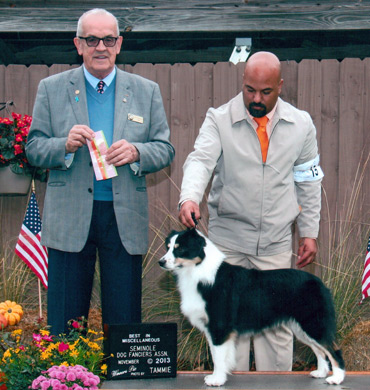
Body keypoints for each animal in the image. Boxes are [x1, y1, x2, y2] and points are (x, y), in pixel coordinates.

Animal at [159, 229, 344, 386]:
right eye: (168, 247)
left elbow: (218, 357)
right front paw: (218, 376)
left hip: (313, 324)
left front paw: (217, 380)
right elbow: (218, 354)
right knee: (320, 350)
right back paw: (320, 373)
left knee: (333, 350)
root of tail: (320, 283)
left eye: (180, 249)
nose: (161, 262)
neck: (198, 269)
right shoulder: (214, 329)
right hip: (302, 328)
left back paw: (336, 379)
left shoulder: (219, 326)